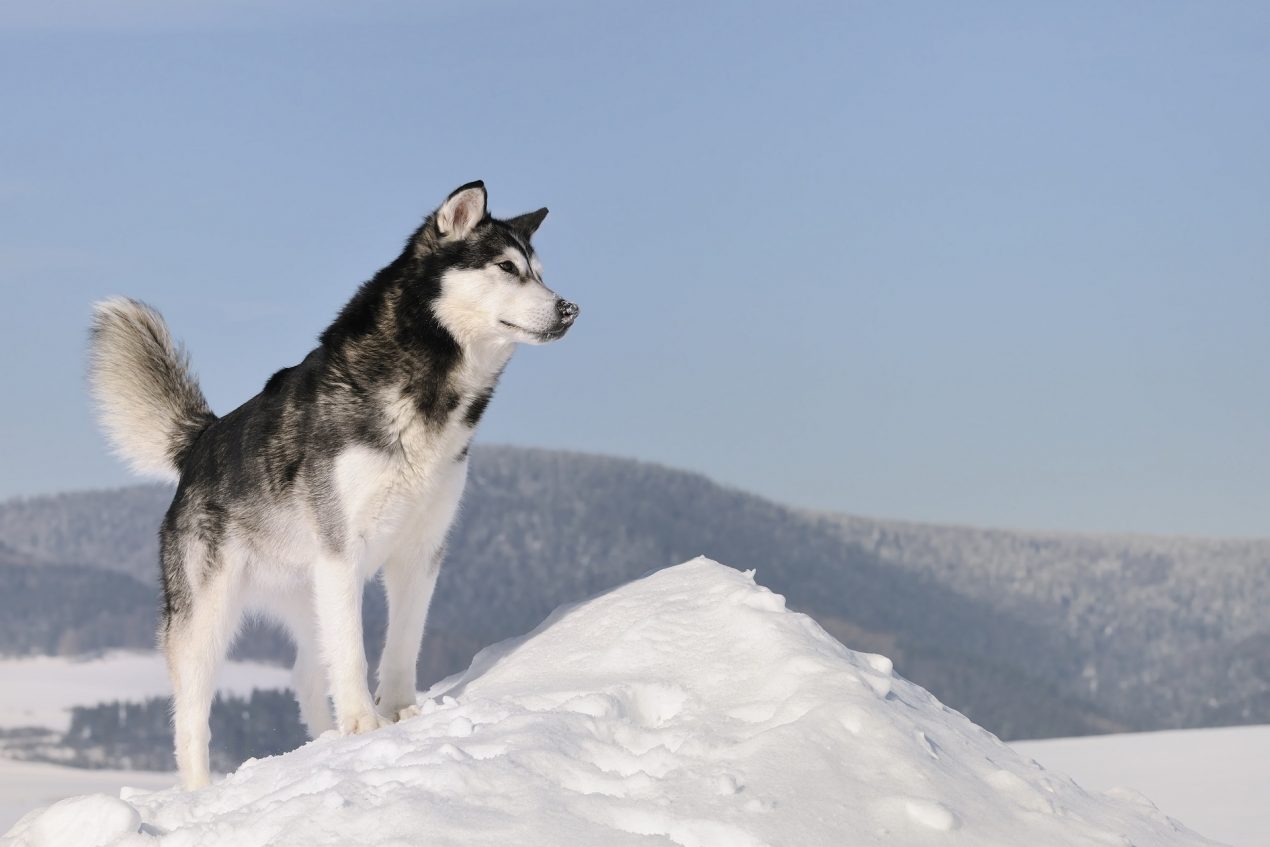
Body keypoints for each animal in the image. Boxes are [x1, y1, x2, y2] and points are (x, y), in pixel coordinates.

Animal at [89, 180, 581, 787]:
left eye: (539, 272)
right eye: (507, 268)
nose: (570, 308)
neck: (428, 389)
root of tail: (199, 441)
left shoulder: (422, 550)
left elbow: (403, 642)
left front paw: (400, 715)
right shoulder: (343, 549)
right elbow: (354, 653)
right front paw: (366, 727)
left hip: (310, 593)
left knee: (305, 674)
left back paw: (322, 744)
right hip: (210, 615)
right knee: (192, 716)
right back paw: (201, 790)